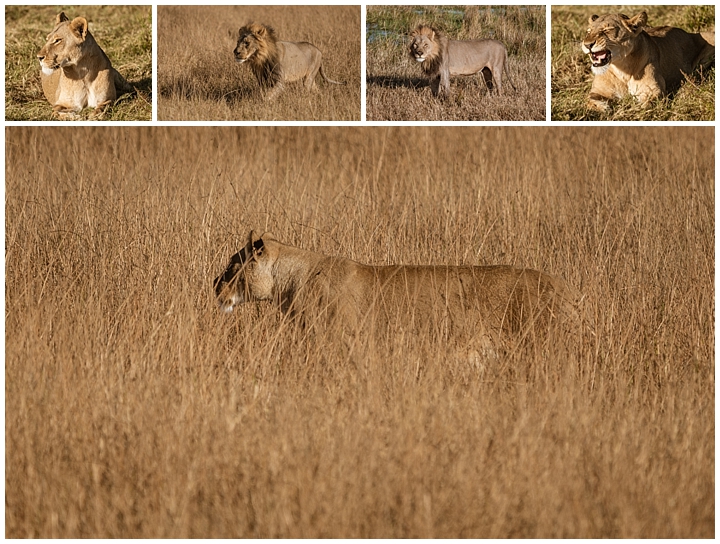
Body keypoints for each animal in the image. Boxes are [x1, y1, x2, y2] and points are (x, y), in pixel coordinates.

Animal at [584, 11, 716, 111]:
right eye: (588, 31)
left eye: (608, 30)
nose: (587, 44)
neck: (622, 70)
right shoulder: (597, 91)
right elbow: (589, 99)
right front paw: (604, 107)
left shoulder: (654, 91)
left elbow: (645, 106)